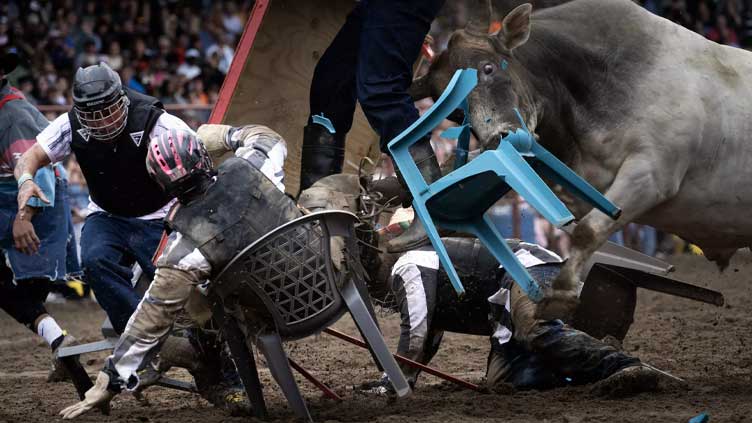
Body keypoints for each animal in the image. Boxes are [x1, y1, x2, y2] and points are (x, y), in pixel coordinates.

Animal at [408, 0, 752, 318]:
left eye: (488, 68)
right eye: (455, 113)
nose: (498, 139)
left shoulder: (652, 175)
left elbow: (589, 230)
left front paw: (561, 293)